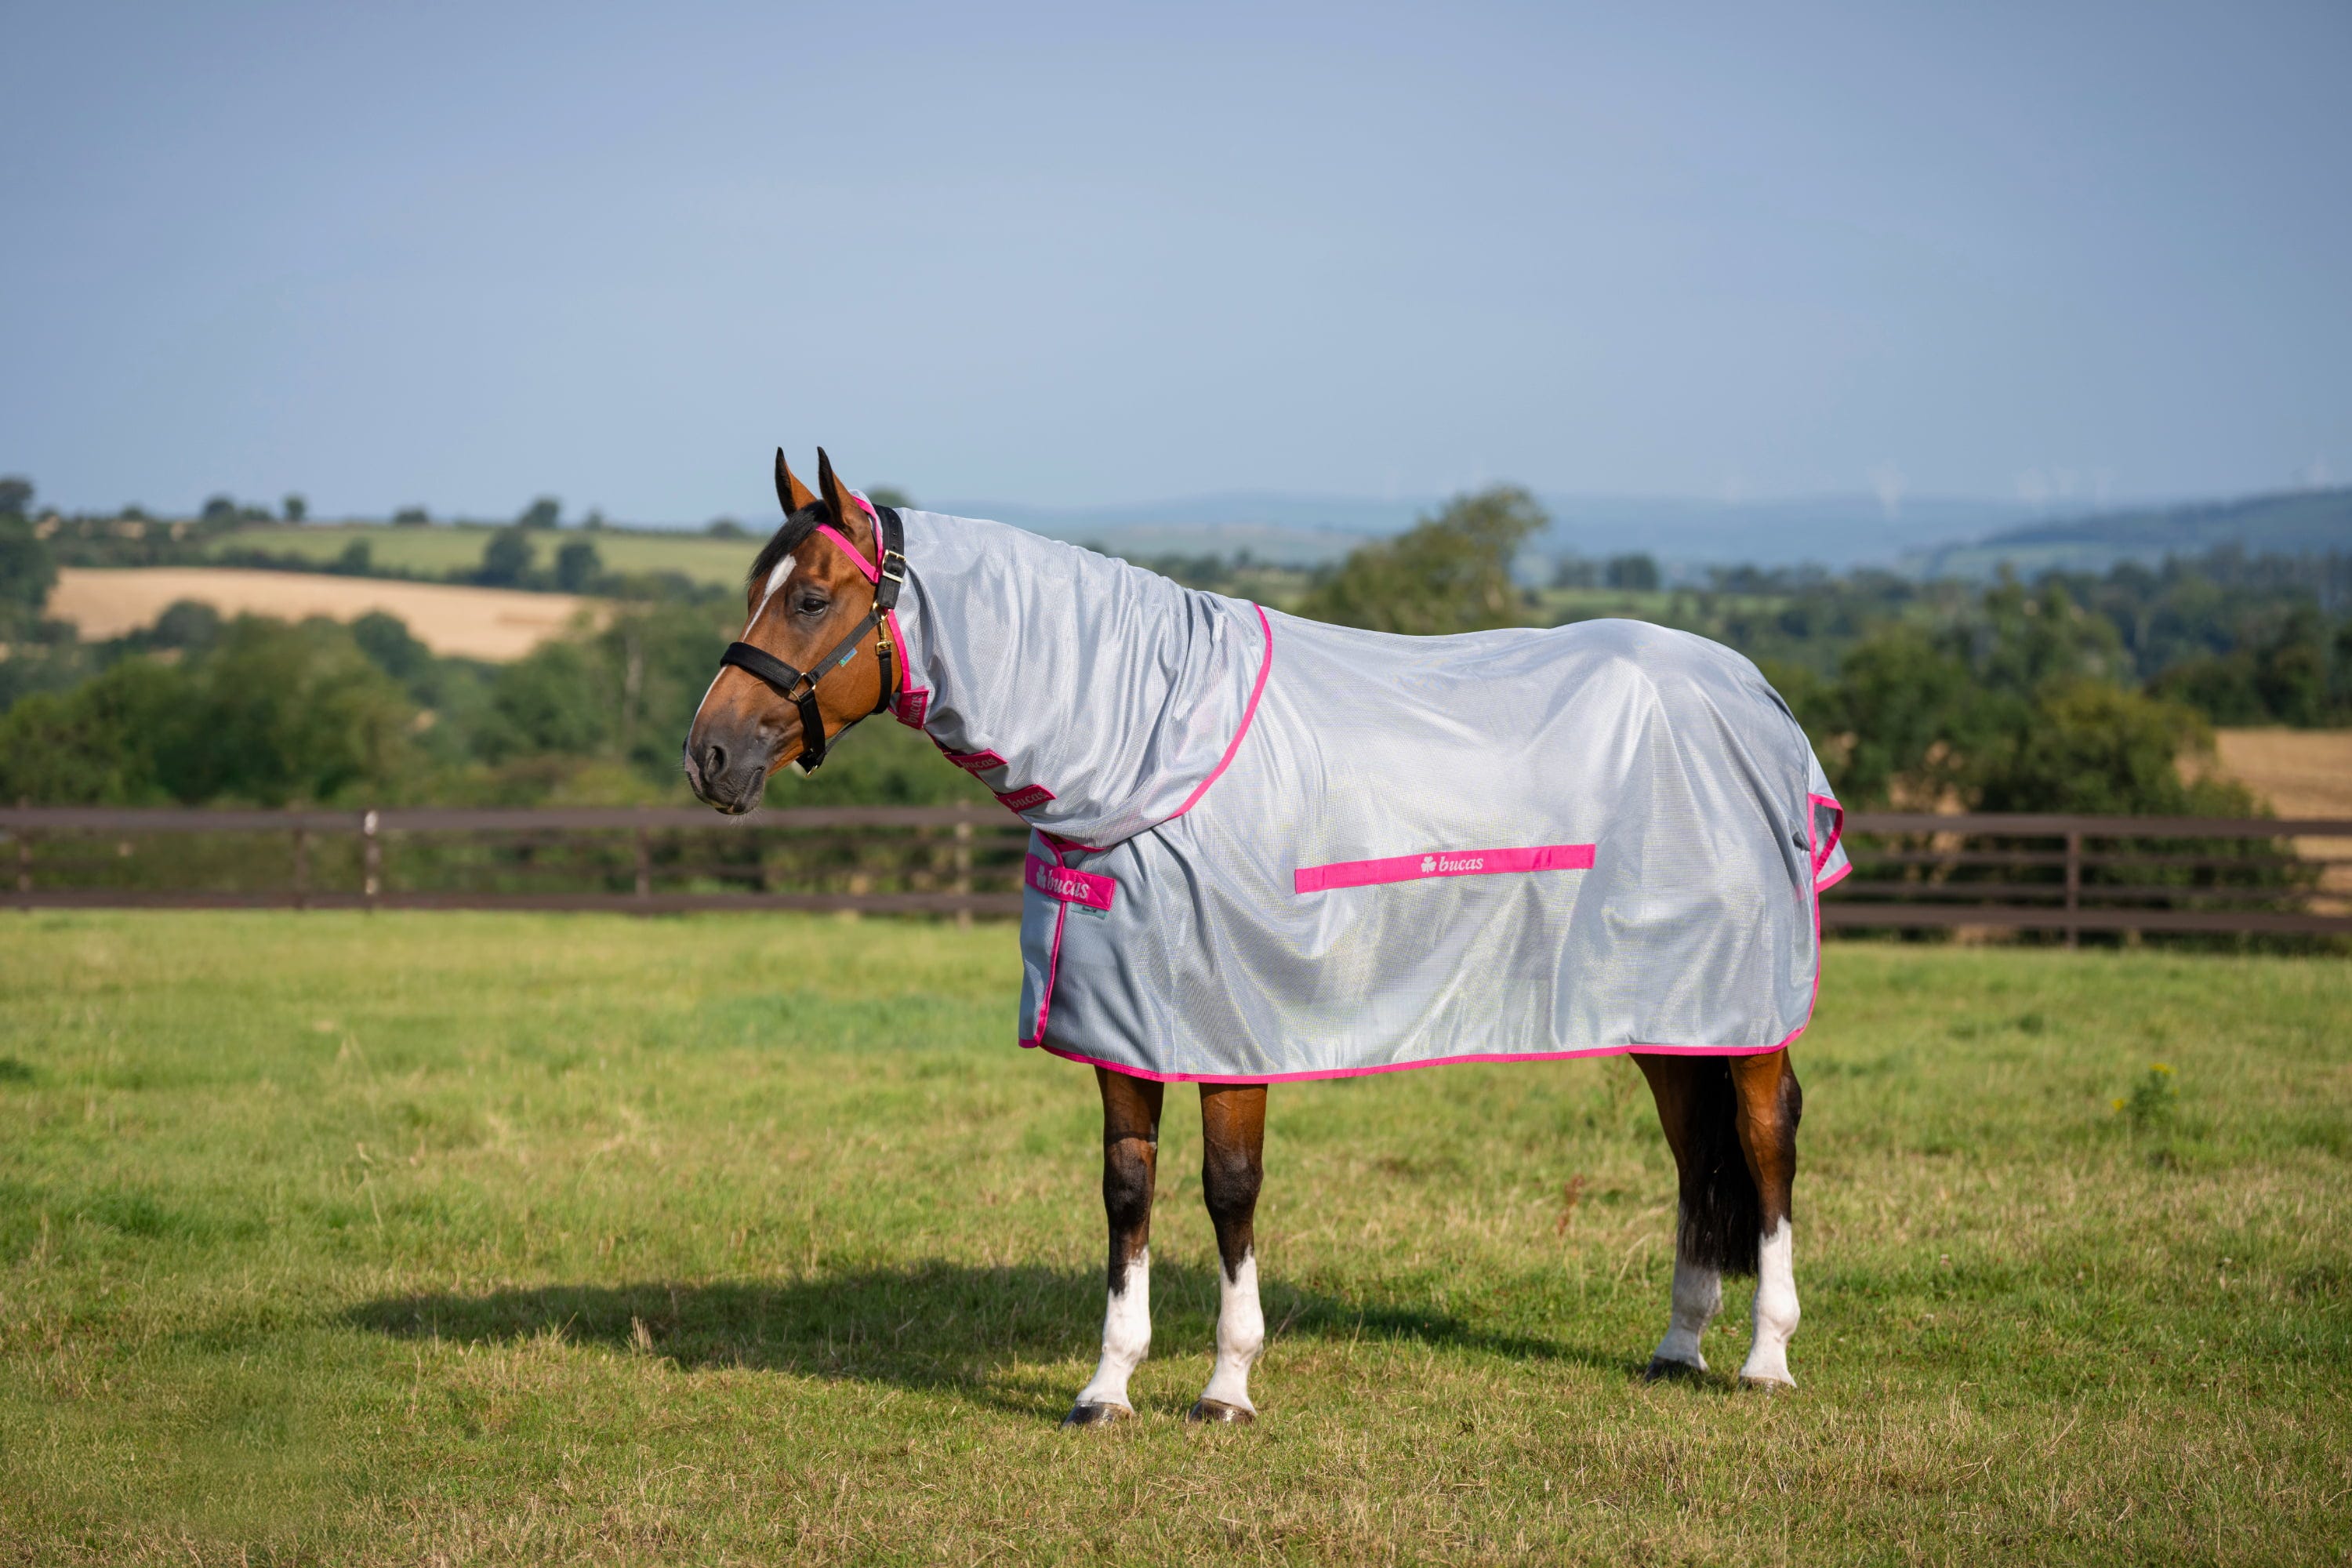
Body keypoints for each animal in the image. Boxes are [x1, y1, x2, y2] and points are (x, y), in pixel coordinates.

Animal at [686, 448, 1848, 1425]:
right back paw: (1677, 1347)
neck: (1140, 743)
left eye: (810, 597)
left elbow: (1227, 1189)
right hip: (1669, 1006)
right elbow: (1127, 1193)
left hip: (1746, 1009)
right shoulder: (1122, 1033)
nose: (709, 755)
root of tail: (1756, 694)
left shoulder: (1230, 1027)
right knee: (1695, 1151)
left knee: (1764, 1138)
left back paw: (1766, 1359)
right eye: (753, 592)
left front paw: (1227, 1387)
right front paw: (1107, 1389)